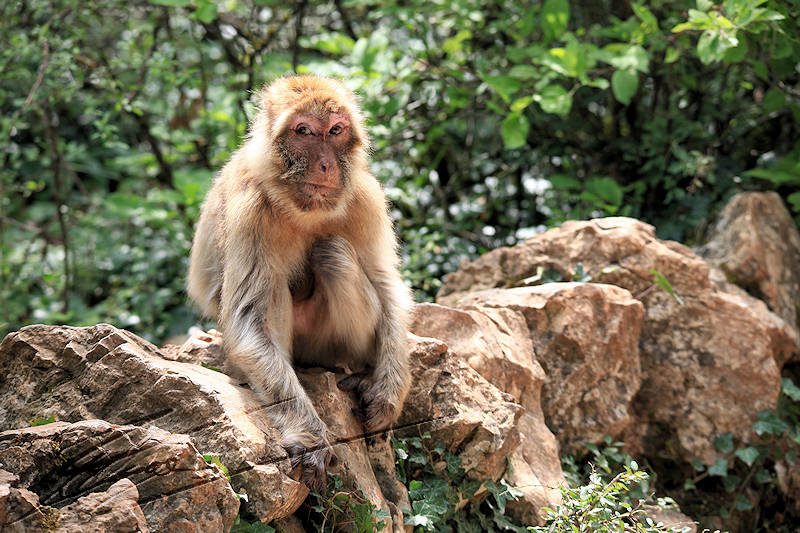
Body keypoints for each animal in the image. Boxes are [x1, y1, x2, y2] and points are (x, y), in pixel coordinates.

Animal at [186, 75, 412, 490]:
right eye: (303, 131)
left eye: (336, 130)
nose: (324, 165)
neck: (304, 207)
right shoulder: (250, 210)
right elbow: (249, 323)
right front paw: (311, 438)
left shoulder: (365, 198)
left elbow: (386, 283)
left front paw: (390, 392)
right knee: (276, 284)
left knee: (333, 253)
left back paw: (361, 374)